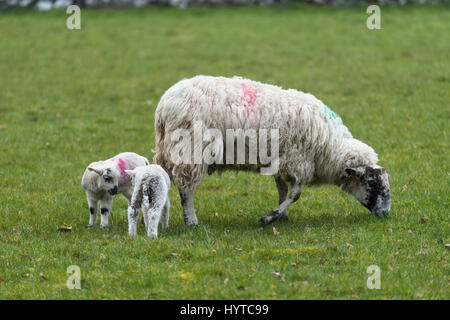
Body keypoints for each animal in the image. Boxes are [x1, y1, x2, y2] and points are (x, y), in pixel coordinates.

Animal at [154, 75, 390, 226]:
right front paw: (270, 217)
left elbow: (282, 189)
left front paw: (282, 217)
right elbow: (296, 194)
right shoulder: (298, 160)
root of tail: (165, 104)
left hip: (167, 150)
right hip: (190, 148)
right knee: (186, 189)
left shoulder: (282, 160)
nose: (385, 214)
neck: (329, 145)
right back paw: (191, 221)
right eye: (371, 183)